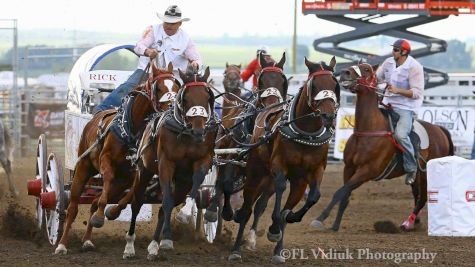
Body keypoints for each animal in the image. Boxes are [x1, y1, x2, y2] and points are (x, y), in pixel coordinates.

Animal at [54, 61, 180, 255]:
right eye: (158, 88)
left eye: (176, 86)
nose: (173, 110)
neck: (131, 130)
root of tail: (95, 117)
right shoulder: (106, 161)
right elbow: (107, 178)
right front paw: (100, 217)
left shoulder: (134, 174)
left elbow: (132, 194)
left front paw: (111, 212)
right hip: (82, 169)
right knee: (73, 207)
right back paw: (62, 244)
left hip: (119, 182)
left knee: (94, 202)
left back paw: (87, 239)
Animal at [120, 66, 218, 260]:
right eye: (185, 98)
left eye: (208, 97)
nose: (199, 131)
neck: (186, 132)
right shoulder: (166, 163)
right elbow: (165, 202)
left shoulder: (202, 161)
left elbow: (195, 184)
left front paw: (185, 214)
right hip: (144, 172)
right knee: (137, 203)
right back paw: (129, 246)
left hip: (181, 183)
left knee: (166, 207)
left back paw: (155, 245)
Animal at [310, 62, 456, 232]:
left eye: (366, 69)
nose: (345, 72)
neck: (368, 130)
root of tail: (440, 130)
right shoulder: (349, 168)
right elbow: (345, 195)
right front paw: (335, 225)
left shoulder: (367, 171)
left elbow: (340, 192)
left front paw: (320, 219)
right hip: (417, 175)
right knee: (417, 195)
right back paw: (415, 221)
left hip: (426, 174)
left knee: (423, 198)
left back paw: (407, 223)